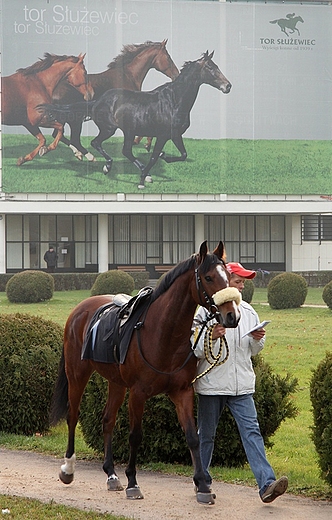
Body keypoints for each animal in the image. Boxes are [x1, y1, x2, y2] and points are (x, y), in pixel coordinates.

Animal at [50, 242, 241, 506]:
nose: (232, 316)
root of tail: (80, 309)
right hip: (77, 374)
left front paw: (202, 485)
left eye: (229, 277)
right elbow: (135, 435)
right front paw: (133, 482)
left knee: (107, 420)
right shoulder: (138, 393)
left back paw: (111, 474)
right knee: (73, 415)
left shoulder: (182, 391)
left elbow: (192, 436)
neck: (163, 333)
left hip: (116, 382)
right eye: (209, 277)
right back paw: (68, 468)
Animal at [51, 39, 179, 161]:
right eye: (168, 57)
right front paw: (144, 144)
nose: (176, 74)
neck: (127, 76)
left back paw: (79, 154)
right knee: (68, 137)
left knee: (58, 135)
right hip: (73, 120)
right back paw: (86, 156)